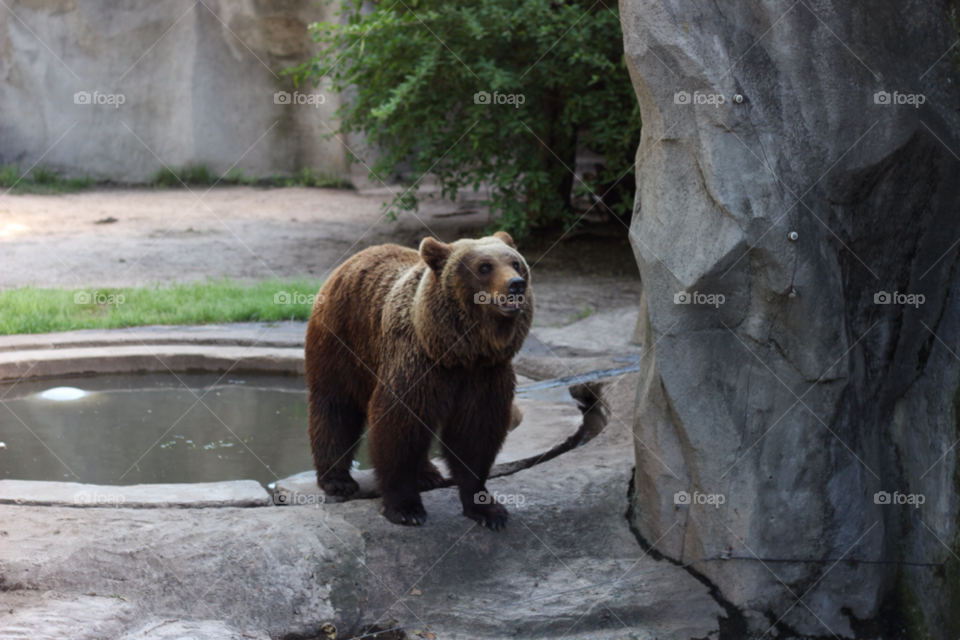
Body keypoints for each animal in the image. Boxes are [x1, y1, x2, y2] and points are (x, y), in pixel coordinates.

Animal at [304, 232, 532, 528]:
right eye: (484, 267)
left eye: (516, 263)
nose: (516, 284)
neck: (459, 351)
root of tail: (353, 259)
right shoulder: (417, 365)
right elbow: (399, 427)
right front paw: (406, 508)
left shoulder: (486, 375)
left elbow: (476, 434)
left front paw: (488, 509)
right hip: (340, 341)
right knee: (335, 407)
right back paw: (337, 479)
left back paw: (427, 473)